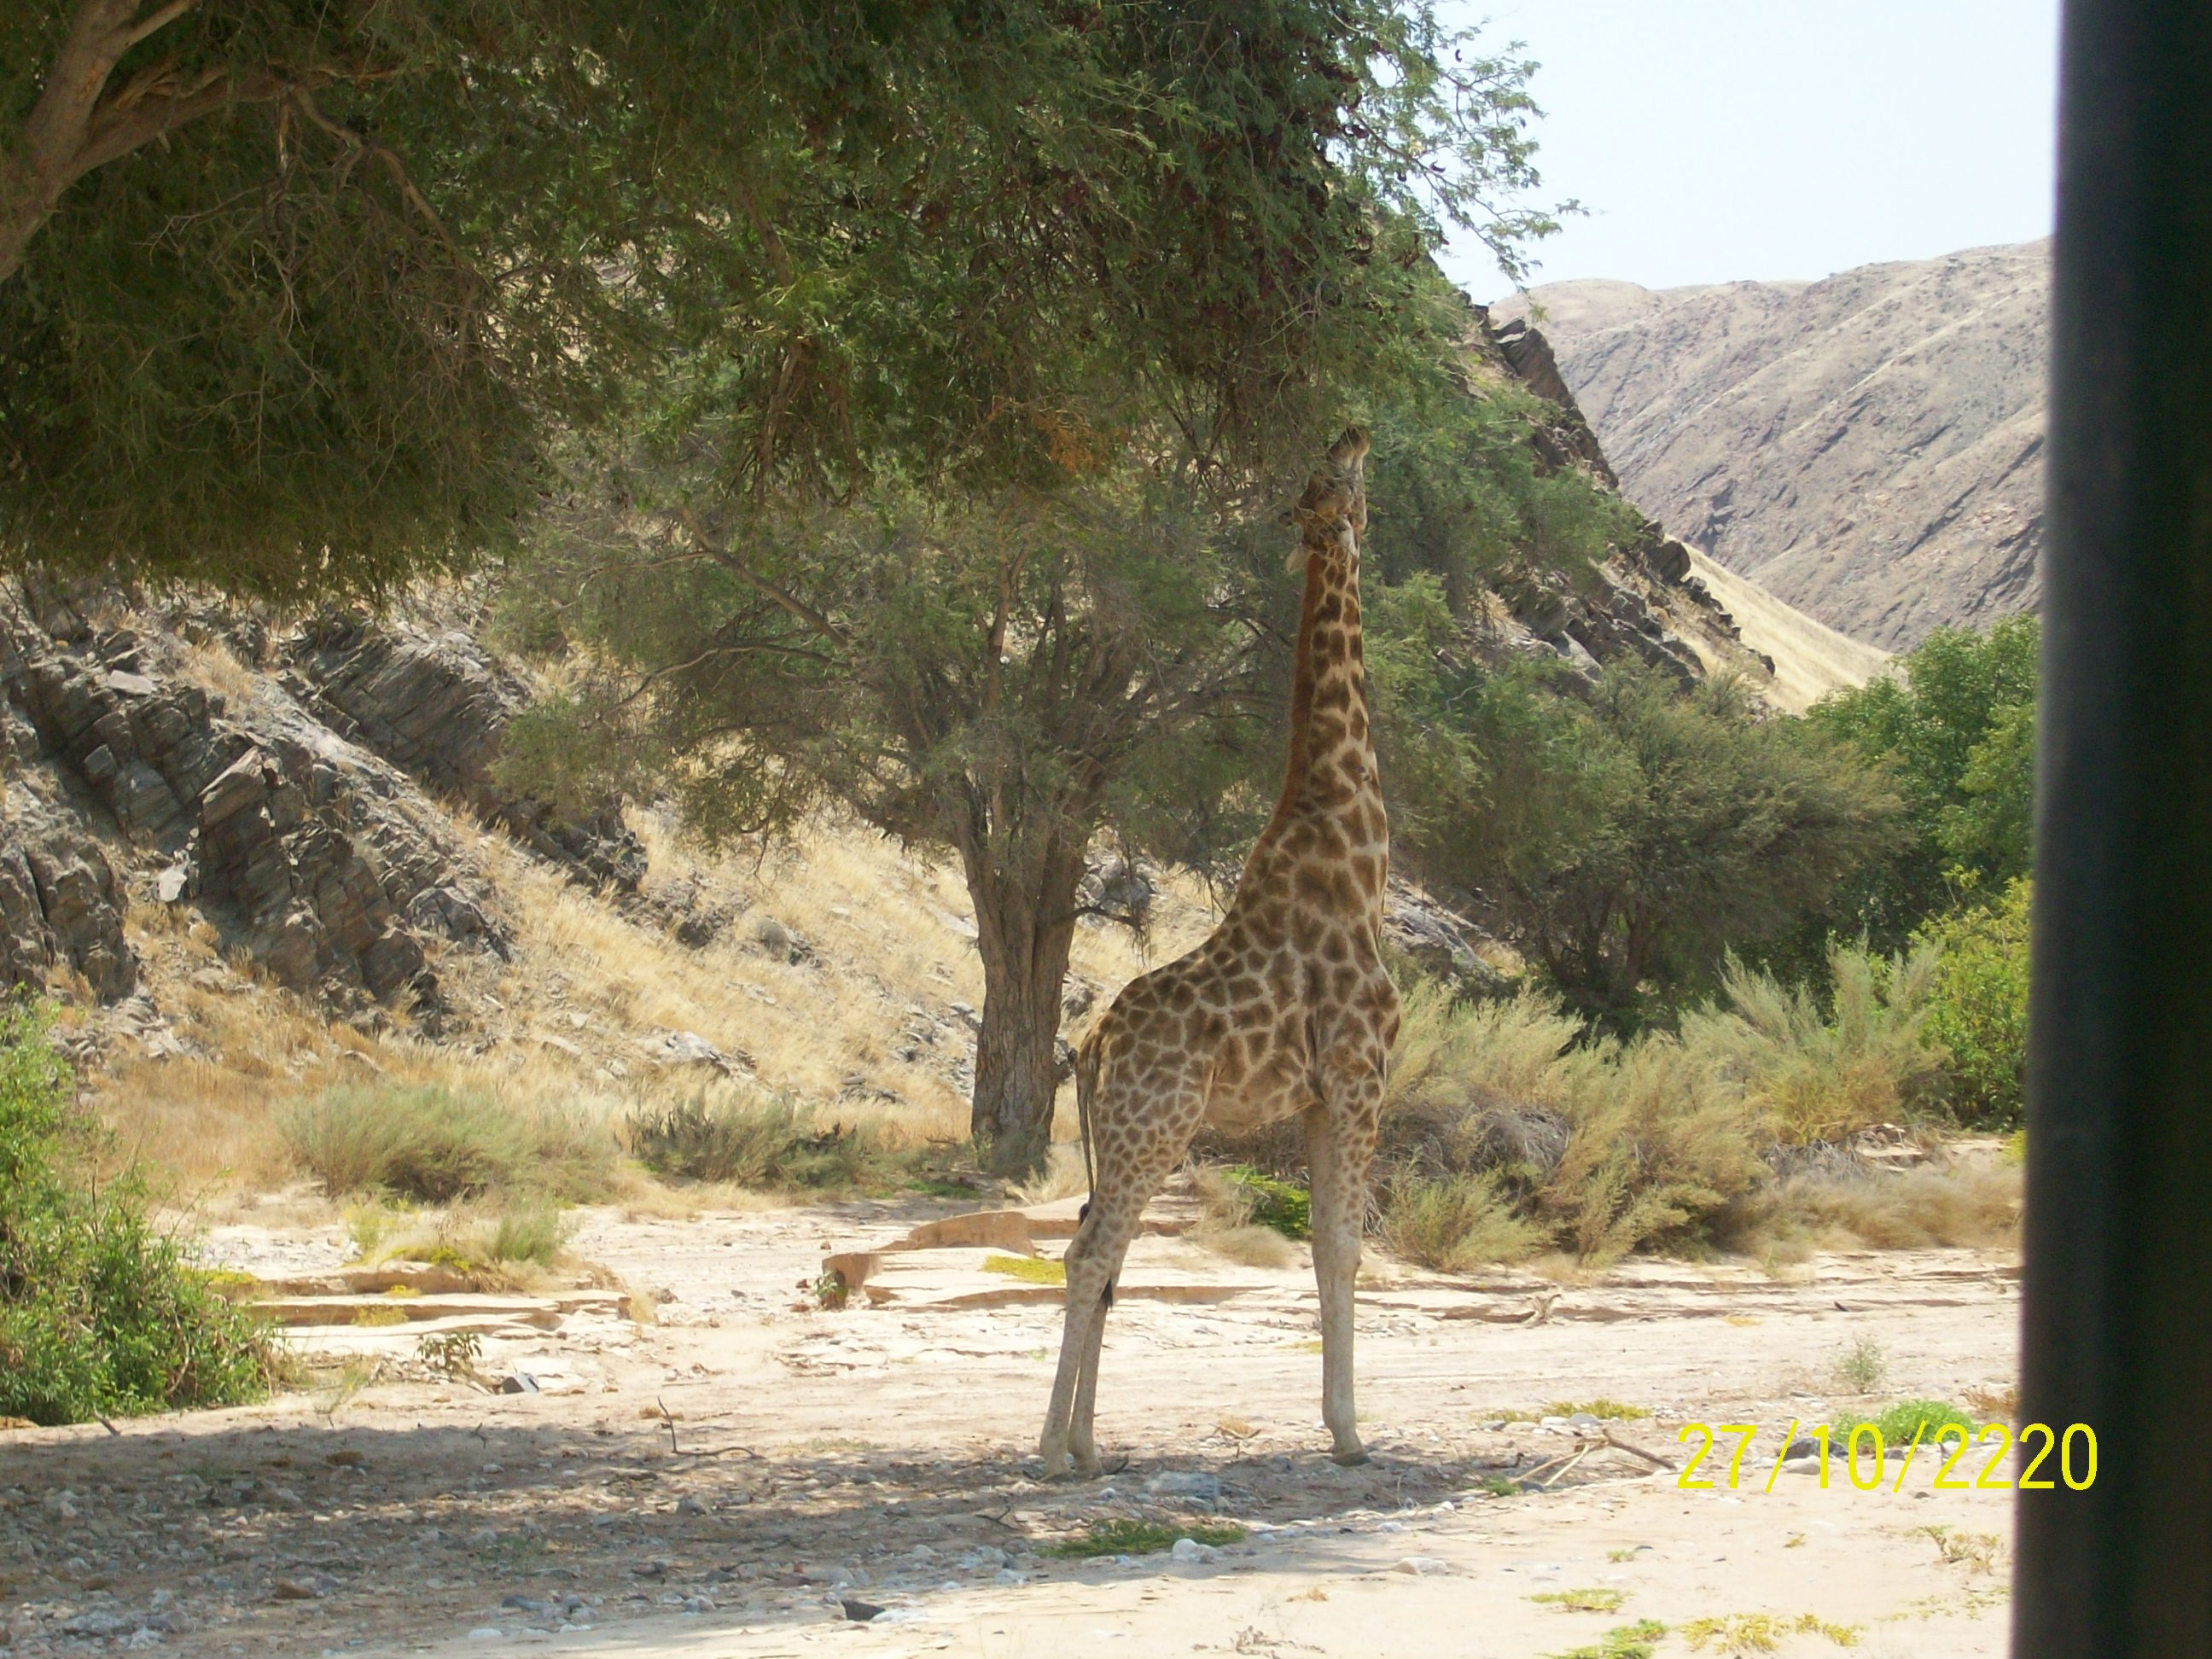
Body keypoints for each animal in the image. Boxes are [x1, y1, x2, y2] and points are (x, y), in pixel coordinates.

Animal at [1039, 428, 1398, 1477]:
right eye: (1347, 476)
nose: (1359, 430)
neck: (1358, 851)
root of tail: (1091, 1050)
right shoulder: (1361, 1078)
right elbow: (1345, 1247)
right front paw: (1352, 1434)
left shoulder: (1320, 1096)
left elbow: (1323, 1247)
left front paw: (1340, 1425)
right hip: (1155, 1130)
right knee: (1090, 1255)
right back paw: (1052, 1449)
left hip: (1125, 1139)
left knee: (1101, 1252)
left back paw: (1090, 1445)